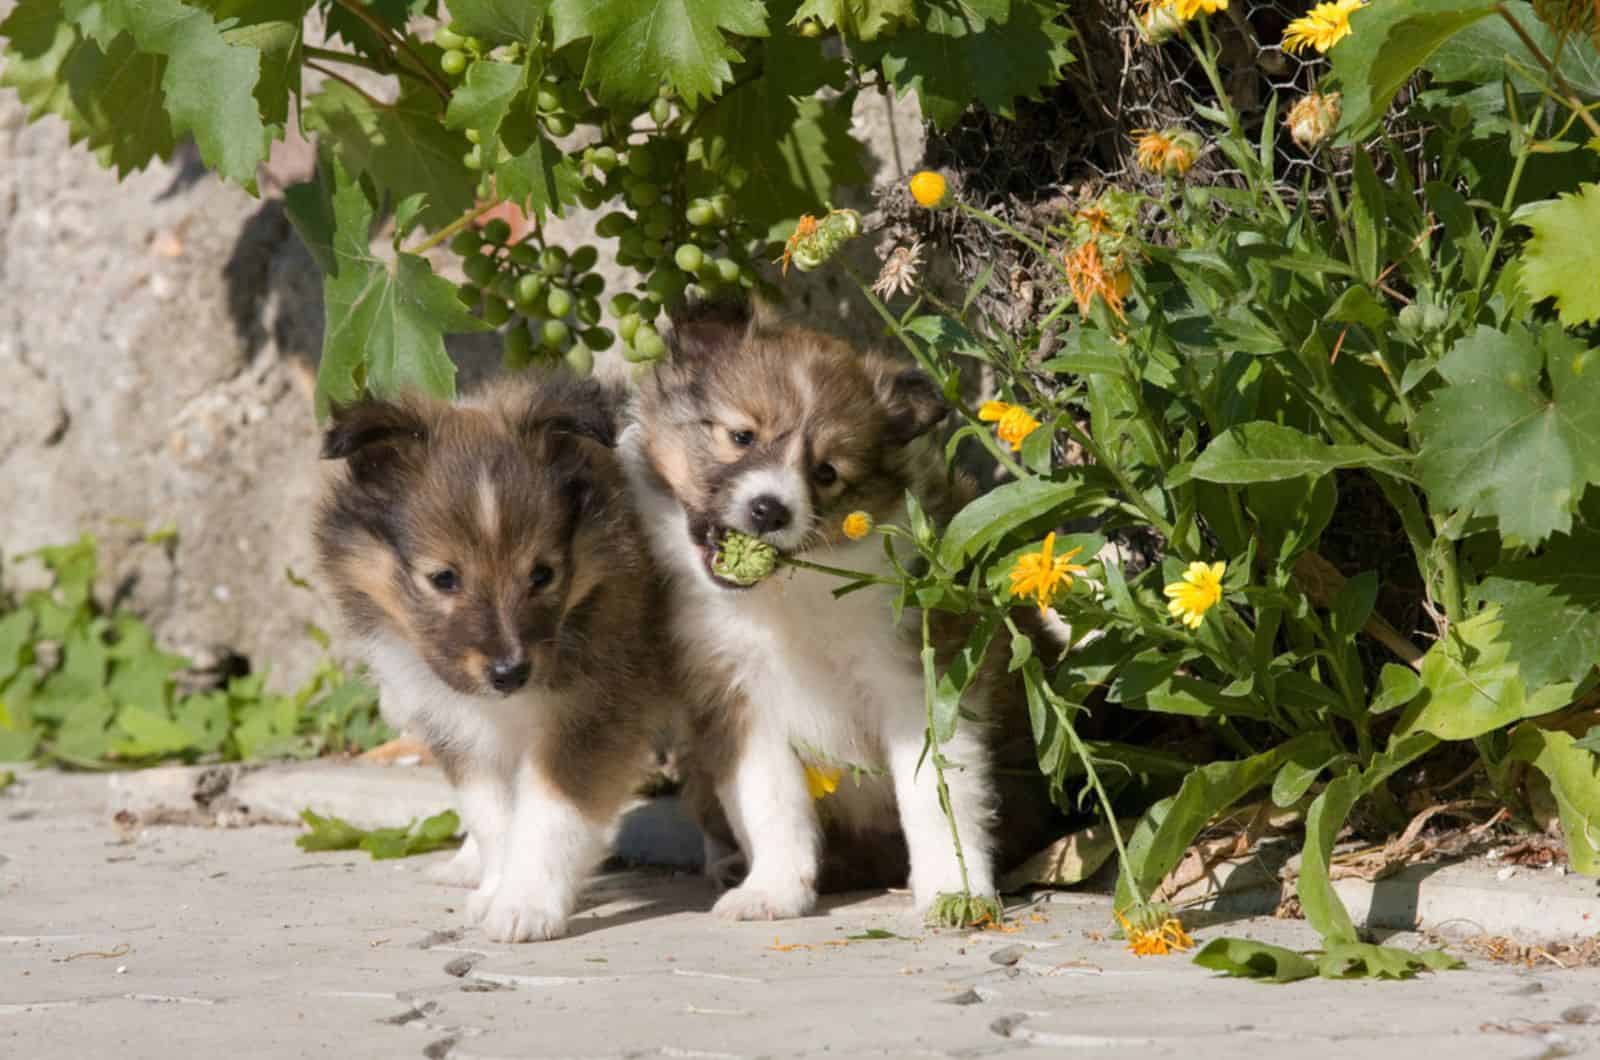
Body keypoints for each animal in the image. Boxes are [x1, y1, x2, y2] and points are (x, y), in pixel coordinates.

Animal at [312, 376, 668, 947]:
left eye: (542, 574)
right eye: (443, 578)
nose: (510, 674)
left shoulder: (595, 711)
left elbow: (551, 810)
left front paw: (525, 905)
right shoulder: (457, 723)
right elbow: (492, 814)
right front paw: (499, 889)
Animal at [617, 301, 1030, 922]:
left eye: (826, 472)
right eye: (741, 436)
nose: (769, 510)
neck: (790, 595)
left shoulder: (919, 680)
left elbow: (936, 795)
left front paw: (954, 890)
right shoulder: (739, 700)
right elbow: (770, 801)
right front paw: (772, 892)